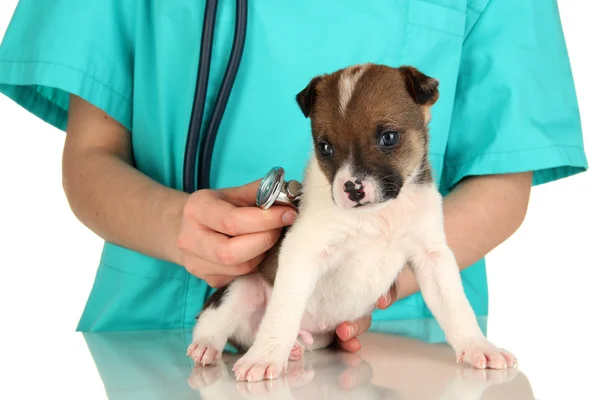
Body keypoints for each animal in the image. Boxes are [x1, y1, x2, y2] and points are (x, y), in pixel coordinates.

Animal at [186, 62, 516, 382]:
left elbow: (456, 307)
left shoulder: (432, 257)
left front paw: (478, 347)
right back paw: (209, 346)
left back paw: (292, 349)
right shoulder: (302, 252)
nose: (352, 188)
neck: (378, 215)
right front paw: (265, 356)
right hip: (242, 288)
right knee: (211, 320)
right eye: (325, 147)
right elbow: (282, 312)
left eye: (389, 137)